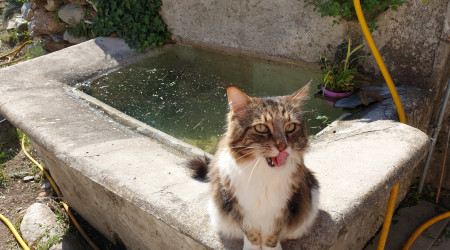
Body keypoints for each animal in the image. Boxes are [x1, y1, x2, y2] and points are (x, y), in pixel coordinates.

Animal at [188, 83, 318, 249]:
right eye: (261, 128)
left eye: (290, 127)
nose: (283, 147)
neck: (263, 174)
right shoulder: (240, 208)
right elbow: (252, 236)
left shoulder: (280, 209)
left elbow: (271, 238)